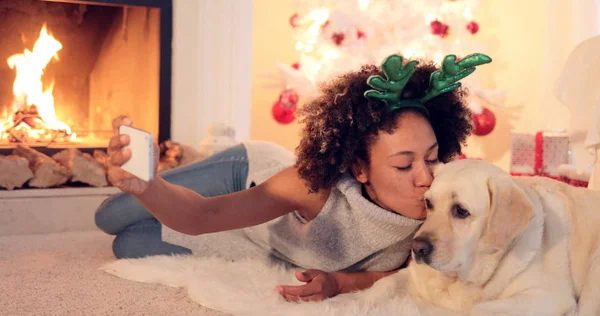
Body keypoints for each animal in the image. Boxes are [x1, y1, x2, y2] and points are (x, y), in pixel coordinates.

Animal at [350, 160, 600, 316]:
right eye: (428, 203)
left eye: (461, 211)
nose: (416, 247)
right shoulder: (412, 274)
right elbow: (383, 284)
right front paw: (360, 302)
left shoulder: (548, 296)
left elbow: (477, 309)